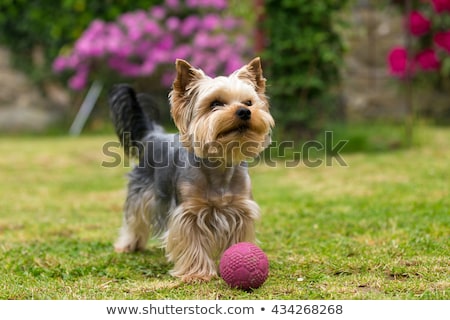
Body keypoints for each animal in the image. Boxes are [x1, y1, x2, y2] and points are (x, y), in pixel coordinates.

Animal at [109, 58, 274, 282]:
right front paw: (197, 273)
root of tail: (153, 134)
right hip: (141, 191)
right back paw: (128, 245)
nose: (244, 112)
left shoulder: (240, 209)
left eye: (249, 102)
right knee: (134, 218)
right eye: (215, 104)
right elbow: (192, 241)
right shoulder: (188, 212)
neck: (220, 162)